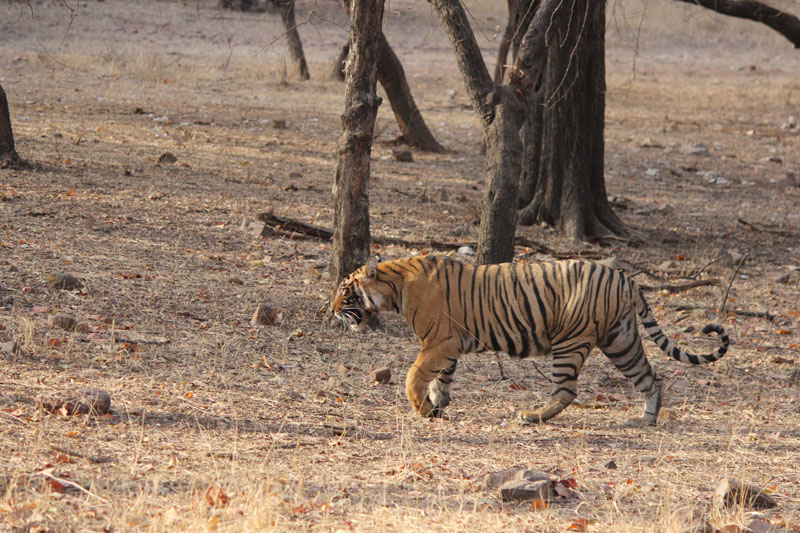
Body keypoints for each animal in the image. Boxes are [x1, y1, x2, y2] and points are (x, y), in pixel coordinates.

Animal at [328, 252, 728, 424]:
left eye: (345, 291)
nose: (330, 310)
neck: (395, 286)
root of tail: (625, 277)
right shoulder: (450, 346)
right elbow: (441, 380)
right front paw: (438, 408)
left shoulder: (439, 342)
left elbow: (415, 376)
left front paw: (422, 409)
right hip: (621, 339)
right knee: (650, 377)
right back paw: (644, 419)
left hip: (570, 341)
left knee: (567, 391)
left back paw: (532, 416)